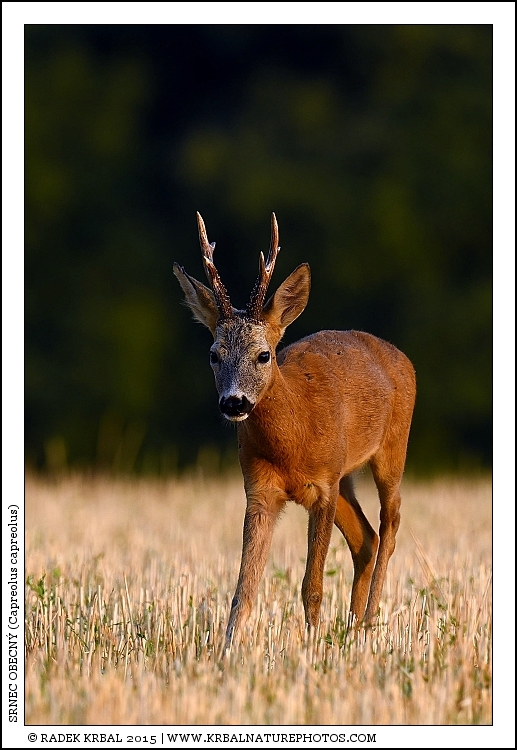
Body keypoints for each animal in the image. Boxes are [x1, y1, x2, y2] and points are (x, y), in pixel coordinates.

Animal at [173, 212, 416, 651]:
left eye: (263, 354)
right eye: (214, 354)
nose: (234, 403)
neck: (293, 440)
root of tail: (399, 356)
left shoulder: (323, 487)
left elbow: (311, 586)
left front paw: (311, 649)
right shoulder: (260, 491)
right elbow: (244, 590)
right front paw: (226, 652)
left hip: (391, 449)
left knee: (390, 522)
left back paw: (369, 622)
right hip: (346, 477)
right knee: (366, 538)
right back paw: (352, 630)